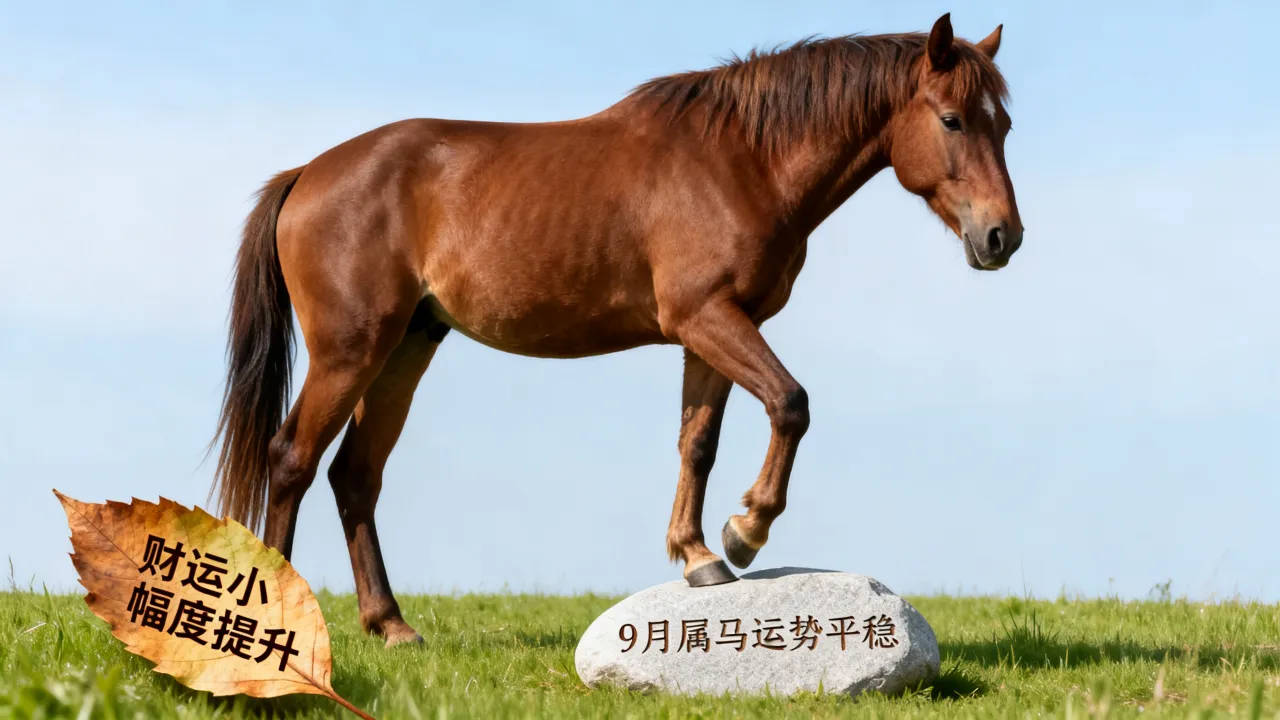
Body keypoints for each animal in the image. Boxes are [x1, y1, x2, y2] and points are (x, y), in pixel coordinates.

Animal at [210, 13, 1022, 647]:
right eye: (952, 119)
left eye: (1004, 123)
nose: (1001, 237)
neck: (742, 160)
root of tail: (309, 173)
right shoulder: (708, 317)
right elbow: (791, 404)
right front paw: (748, 530)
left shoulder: (714, 330)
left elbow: (698, 443)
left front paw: (699, 554)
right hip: (350, 352)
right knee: (293, 460)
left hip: (407, 347)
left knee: (355, 475)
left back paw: (390, 625)